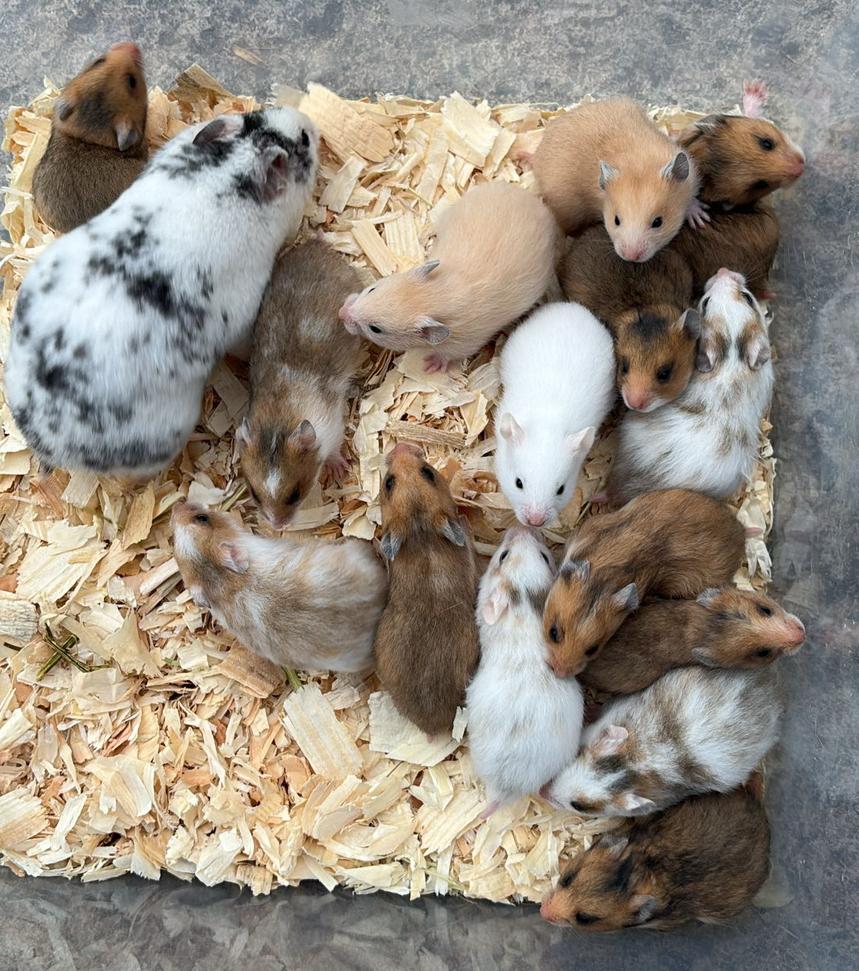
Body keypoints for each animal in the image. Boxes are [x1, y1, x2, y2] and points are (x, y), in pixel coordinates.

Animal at [239, 240, 361, 528]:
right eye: (254, 494)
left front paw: (338, 470)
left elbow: (334, 449)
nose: (278, 526)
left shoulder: (333, 424)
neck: (278, 423)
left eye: (295, 494)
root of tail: (318, 245)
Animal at [339, 182, 559, 372]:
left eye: (375, 329)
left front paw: (430, 366)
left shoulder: (465, 343)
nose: (341, 313)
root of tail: (537, 202)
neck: (436, 296)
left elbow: (447, 355)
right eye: (372, 289)